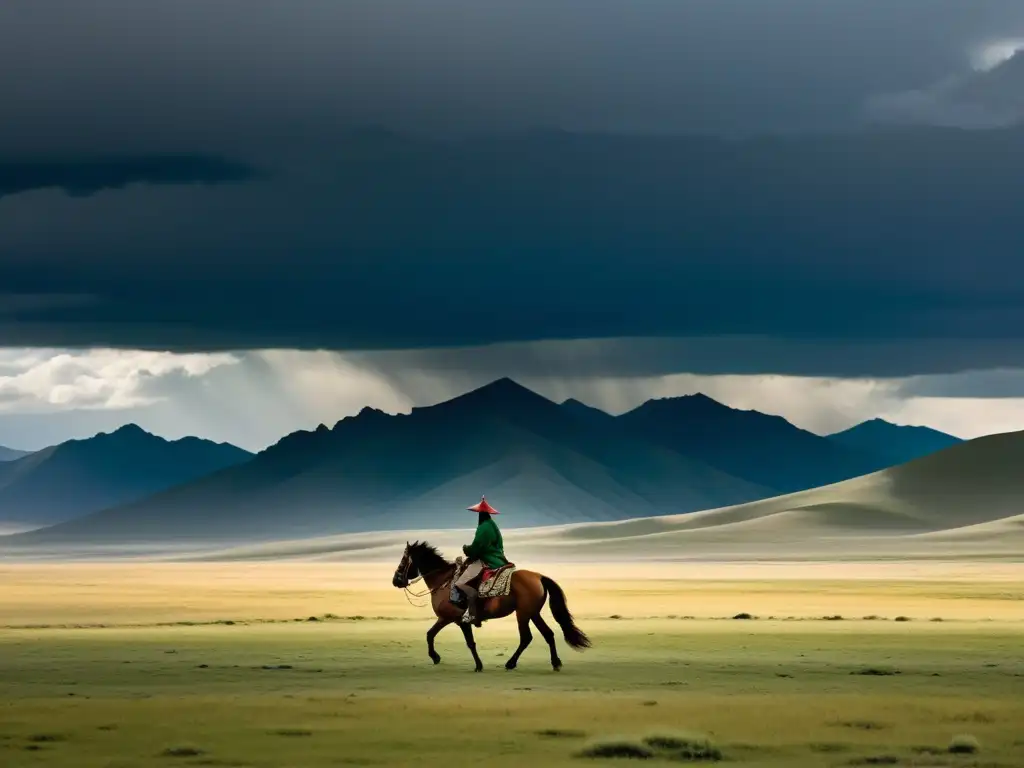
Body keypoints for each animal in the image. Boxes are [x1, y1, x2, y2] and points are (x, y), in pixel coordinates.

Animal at [389, 540, 589, 671]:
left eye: (403, 560)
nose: (395, 581)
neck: (443, 581)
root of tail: (539, 576)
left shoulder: (456, 619)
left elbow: (469, 642)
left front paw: (477, 665)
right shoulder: (446, 618)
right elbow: (430, 634)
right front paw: (436, 657)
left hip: (523, 614)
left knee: (526, 637)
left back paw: (511, 663)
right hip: (533, 613)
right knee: (548, 634)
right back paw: (555, 663)